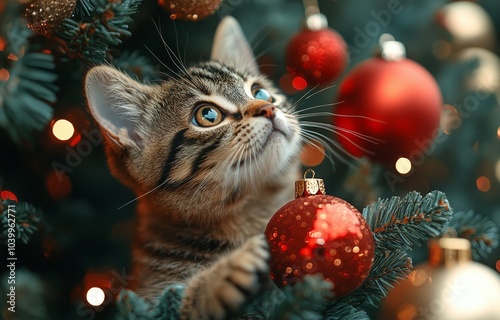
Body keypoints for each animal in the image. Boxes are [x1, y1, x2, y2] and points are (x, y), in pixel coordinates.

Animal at [85, 18, 300, 320]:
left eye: (260, 92)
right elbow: (176, 303)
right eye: (208, 115)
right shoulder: (144, 302)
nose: (268, 108)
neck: (251, 210)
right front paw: (220, 276)